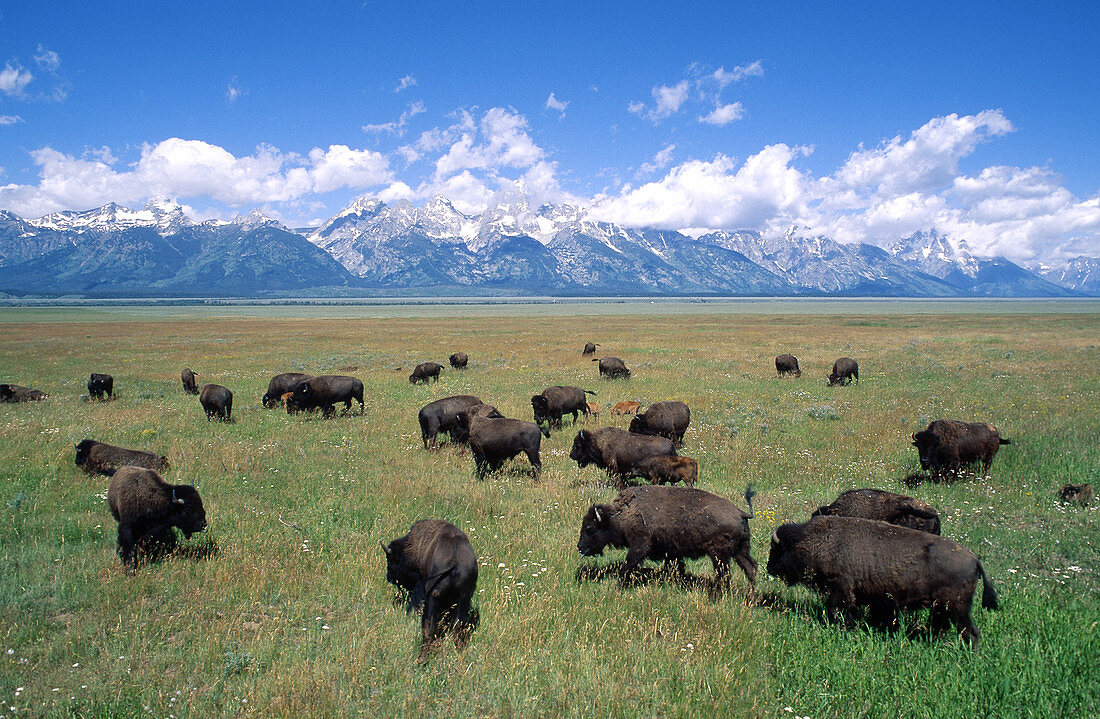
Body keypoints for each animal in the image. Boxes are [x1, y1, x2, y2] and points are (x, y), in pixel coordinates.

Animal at [382, 518, 477, 664]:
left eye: (391, 561)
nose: (390, 577)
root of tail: (455, 559)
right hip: (465, 598)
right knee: (458, 627)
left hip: (433, 597)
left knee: (428, 627)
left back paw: (421, 659)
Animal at [576, 483, 756, 593]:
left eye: (590, 528)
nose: (579, 547)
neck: (621, 515)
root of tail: (740, 512)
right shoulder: (672, 552)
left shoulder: (639, 546)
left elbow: (628, 565)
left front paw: (619, 586)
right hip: (740, 550)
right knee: (751, 568)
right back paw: (750, 596)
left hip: (719, 555)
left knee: (724, 574)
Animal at [765, 514, 998, 650]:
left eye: (776, 549)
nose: (768, 568)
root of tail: (974, 559)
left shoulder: (841, 591)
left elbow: (844, 613)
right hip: (943, 608)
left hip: (957, 608)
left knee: (971, 632)